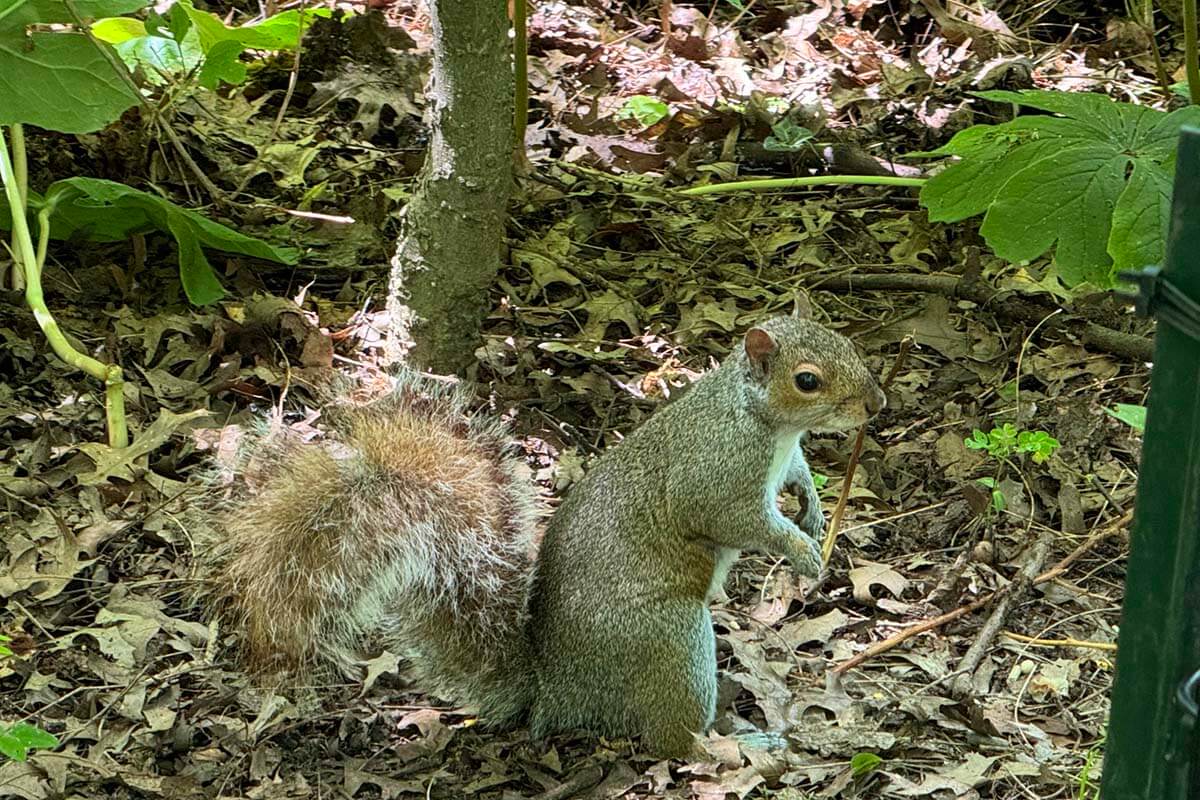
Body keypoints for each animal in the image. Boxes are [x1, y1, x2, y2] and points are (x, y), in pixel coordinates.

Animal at [196, 316, 888, 762]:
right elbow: (737, 521)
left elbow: (797, 477)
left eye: (850, 344)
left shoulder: (783, 458)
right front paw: (800, 549)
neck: (762, 422)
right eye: (807, 380)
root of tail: (556, 691)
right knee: (674, 741)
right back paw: (735, 742)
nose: (876, 404)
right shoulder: (714, 474)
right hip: (669, 641)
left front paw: (814, 511)